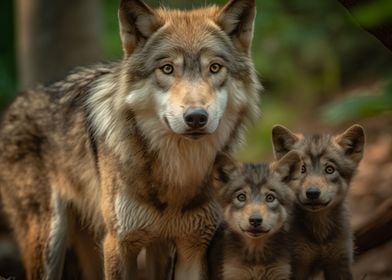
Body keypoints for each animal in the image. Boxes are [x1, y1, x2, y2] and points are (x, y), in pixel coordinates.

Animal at [0, 0, 260, 280]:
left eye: (214, 68)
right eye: (167, 69)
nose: (196, 117)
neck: (177, 175)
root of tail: (15, 103)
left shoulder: (193, 246)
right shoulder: (118, 244)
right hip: (50, 240)